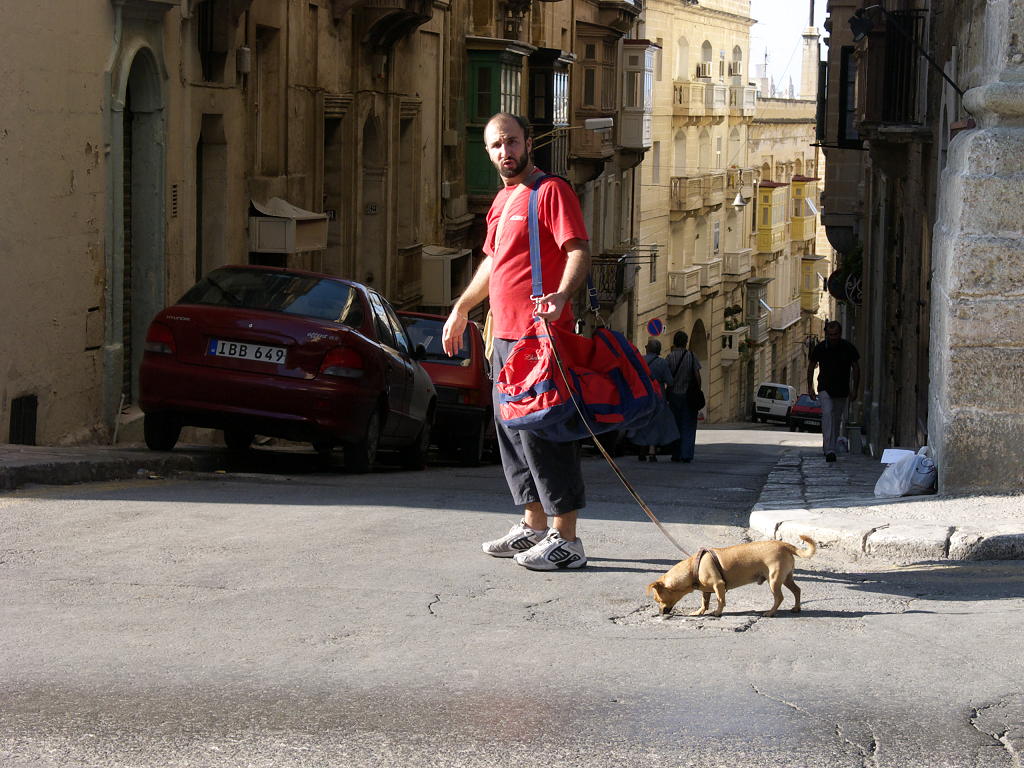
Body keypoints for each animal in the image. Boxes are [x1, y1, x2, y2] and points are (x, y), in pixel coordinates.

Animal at [647, 536, 815, 622]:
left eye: (658, 599)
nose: (660, 613)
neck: (692, 568)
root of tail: (784, 545)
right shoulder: (706, 591)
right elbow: (704, 602)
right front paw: (699, 611)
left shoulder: (718, 585)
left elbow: (720, 600)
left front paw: (717, 612)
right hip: (786, 578)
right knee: (797, 590)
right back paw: (796, 608)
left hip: (774, 581)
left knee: (779, 598)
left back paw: (770, 612)